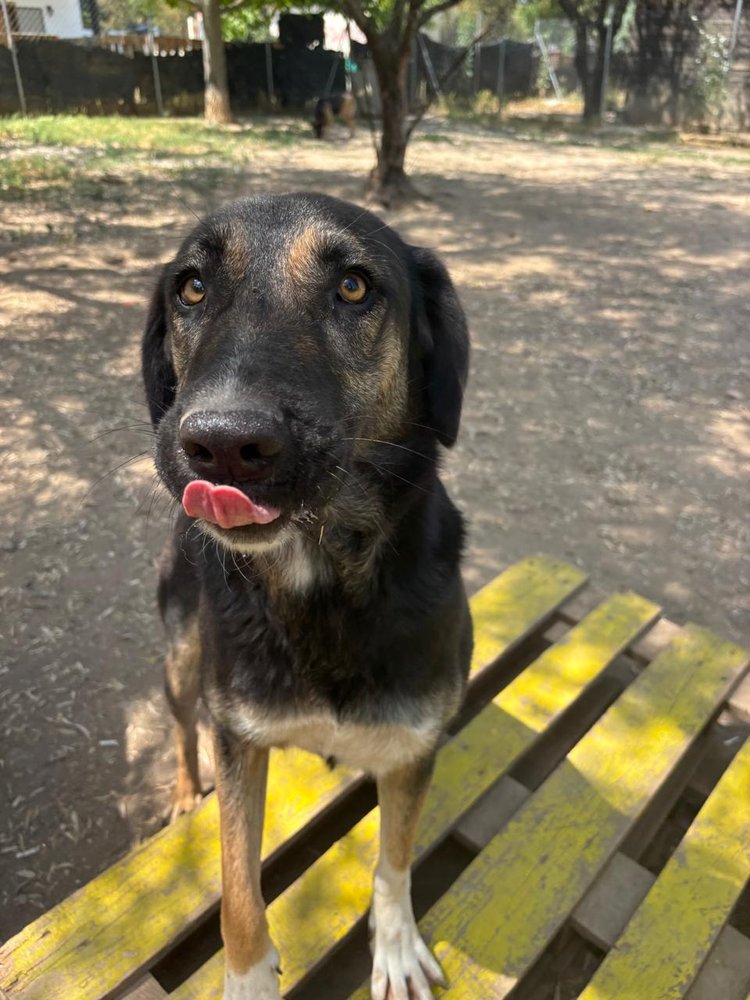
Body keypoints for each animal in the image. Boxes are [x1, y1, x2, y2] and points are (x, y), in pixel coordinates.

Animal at [142, 192, 472, 1000]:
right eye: (191, 287)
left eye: (353, 287)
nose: (222, 445)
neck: (316, 579)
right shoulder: (240, 740)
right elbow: (236, 881)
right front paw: (247, 977)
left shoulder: (414, 746)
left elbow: (393, 861)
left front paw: (395, 947)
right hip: (182, 653)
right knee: (184, 730)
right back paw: (182, 796)